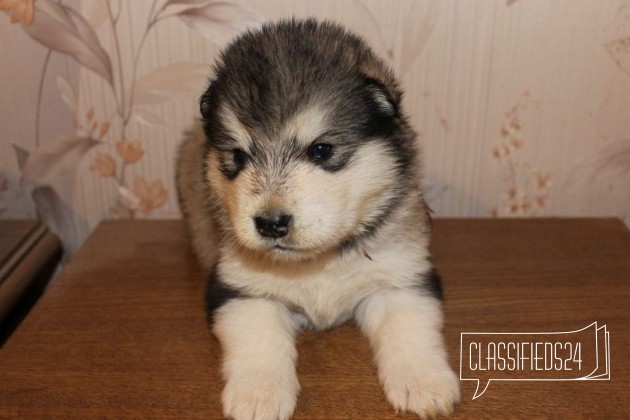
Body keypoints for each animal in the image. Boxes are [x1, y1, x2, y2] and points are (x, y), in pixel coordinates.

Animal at [177, 18, 460, 418]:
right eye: (238, 156)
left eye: (321, 150)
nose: (270, 223)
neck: (318, 261)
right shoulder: (240, 289)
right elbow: (259, 337)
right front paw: (259, 395)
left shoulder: (401, 278)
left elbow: (409, 327)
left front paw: (423, 381)